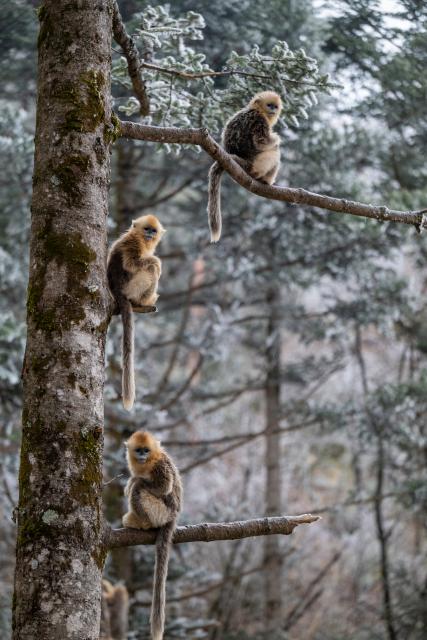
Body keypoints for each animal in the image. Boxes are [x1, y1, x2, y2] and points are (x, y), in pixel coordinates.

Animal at [107, 215, 166, 411]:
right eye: (147, 229)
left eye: (153, 231)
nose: (150, 234)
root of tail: (117, 292)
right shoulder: (133, 244)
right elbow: (133, 263)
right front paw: (157, 262)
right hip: (132, 288)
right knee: (150, 270)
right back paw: (142, 303)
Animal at [123, 430, 183, 640]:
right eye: (138, 450)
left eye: (146, 451)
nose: (141, 456)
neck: (148, 462)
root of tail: (173, 516)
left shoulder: (160, 465)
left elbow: (164, 487)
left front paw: (134, 481)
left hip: (161, 512)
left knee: (139, 490)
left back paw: (143, 522)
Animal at [207, 91, 283, 242]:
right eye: (269, 105)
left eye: (275, 106)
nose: (273, 109)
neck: (256, 109)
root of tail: (242, 161)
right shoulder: (258, 120)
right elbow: (262, 142)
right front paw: (277, 138)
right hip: (254, 165)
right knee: (275, 151)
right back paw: (266, 180)